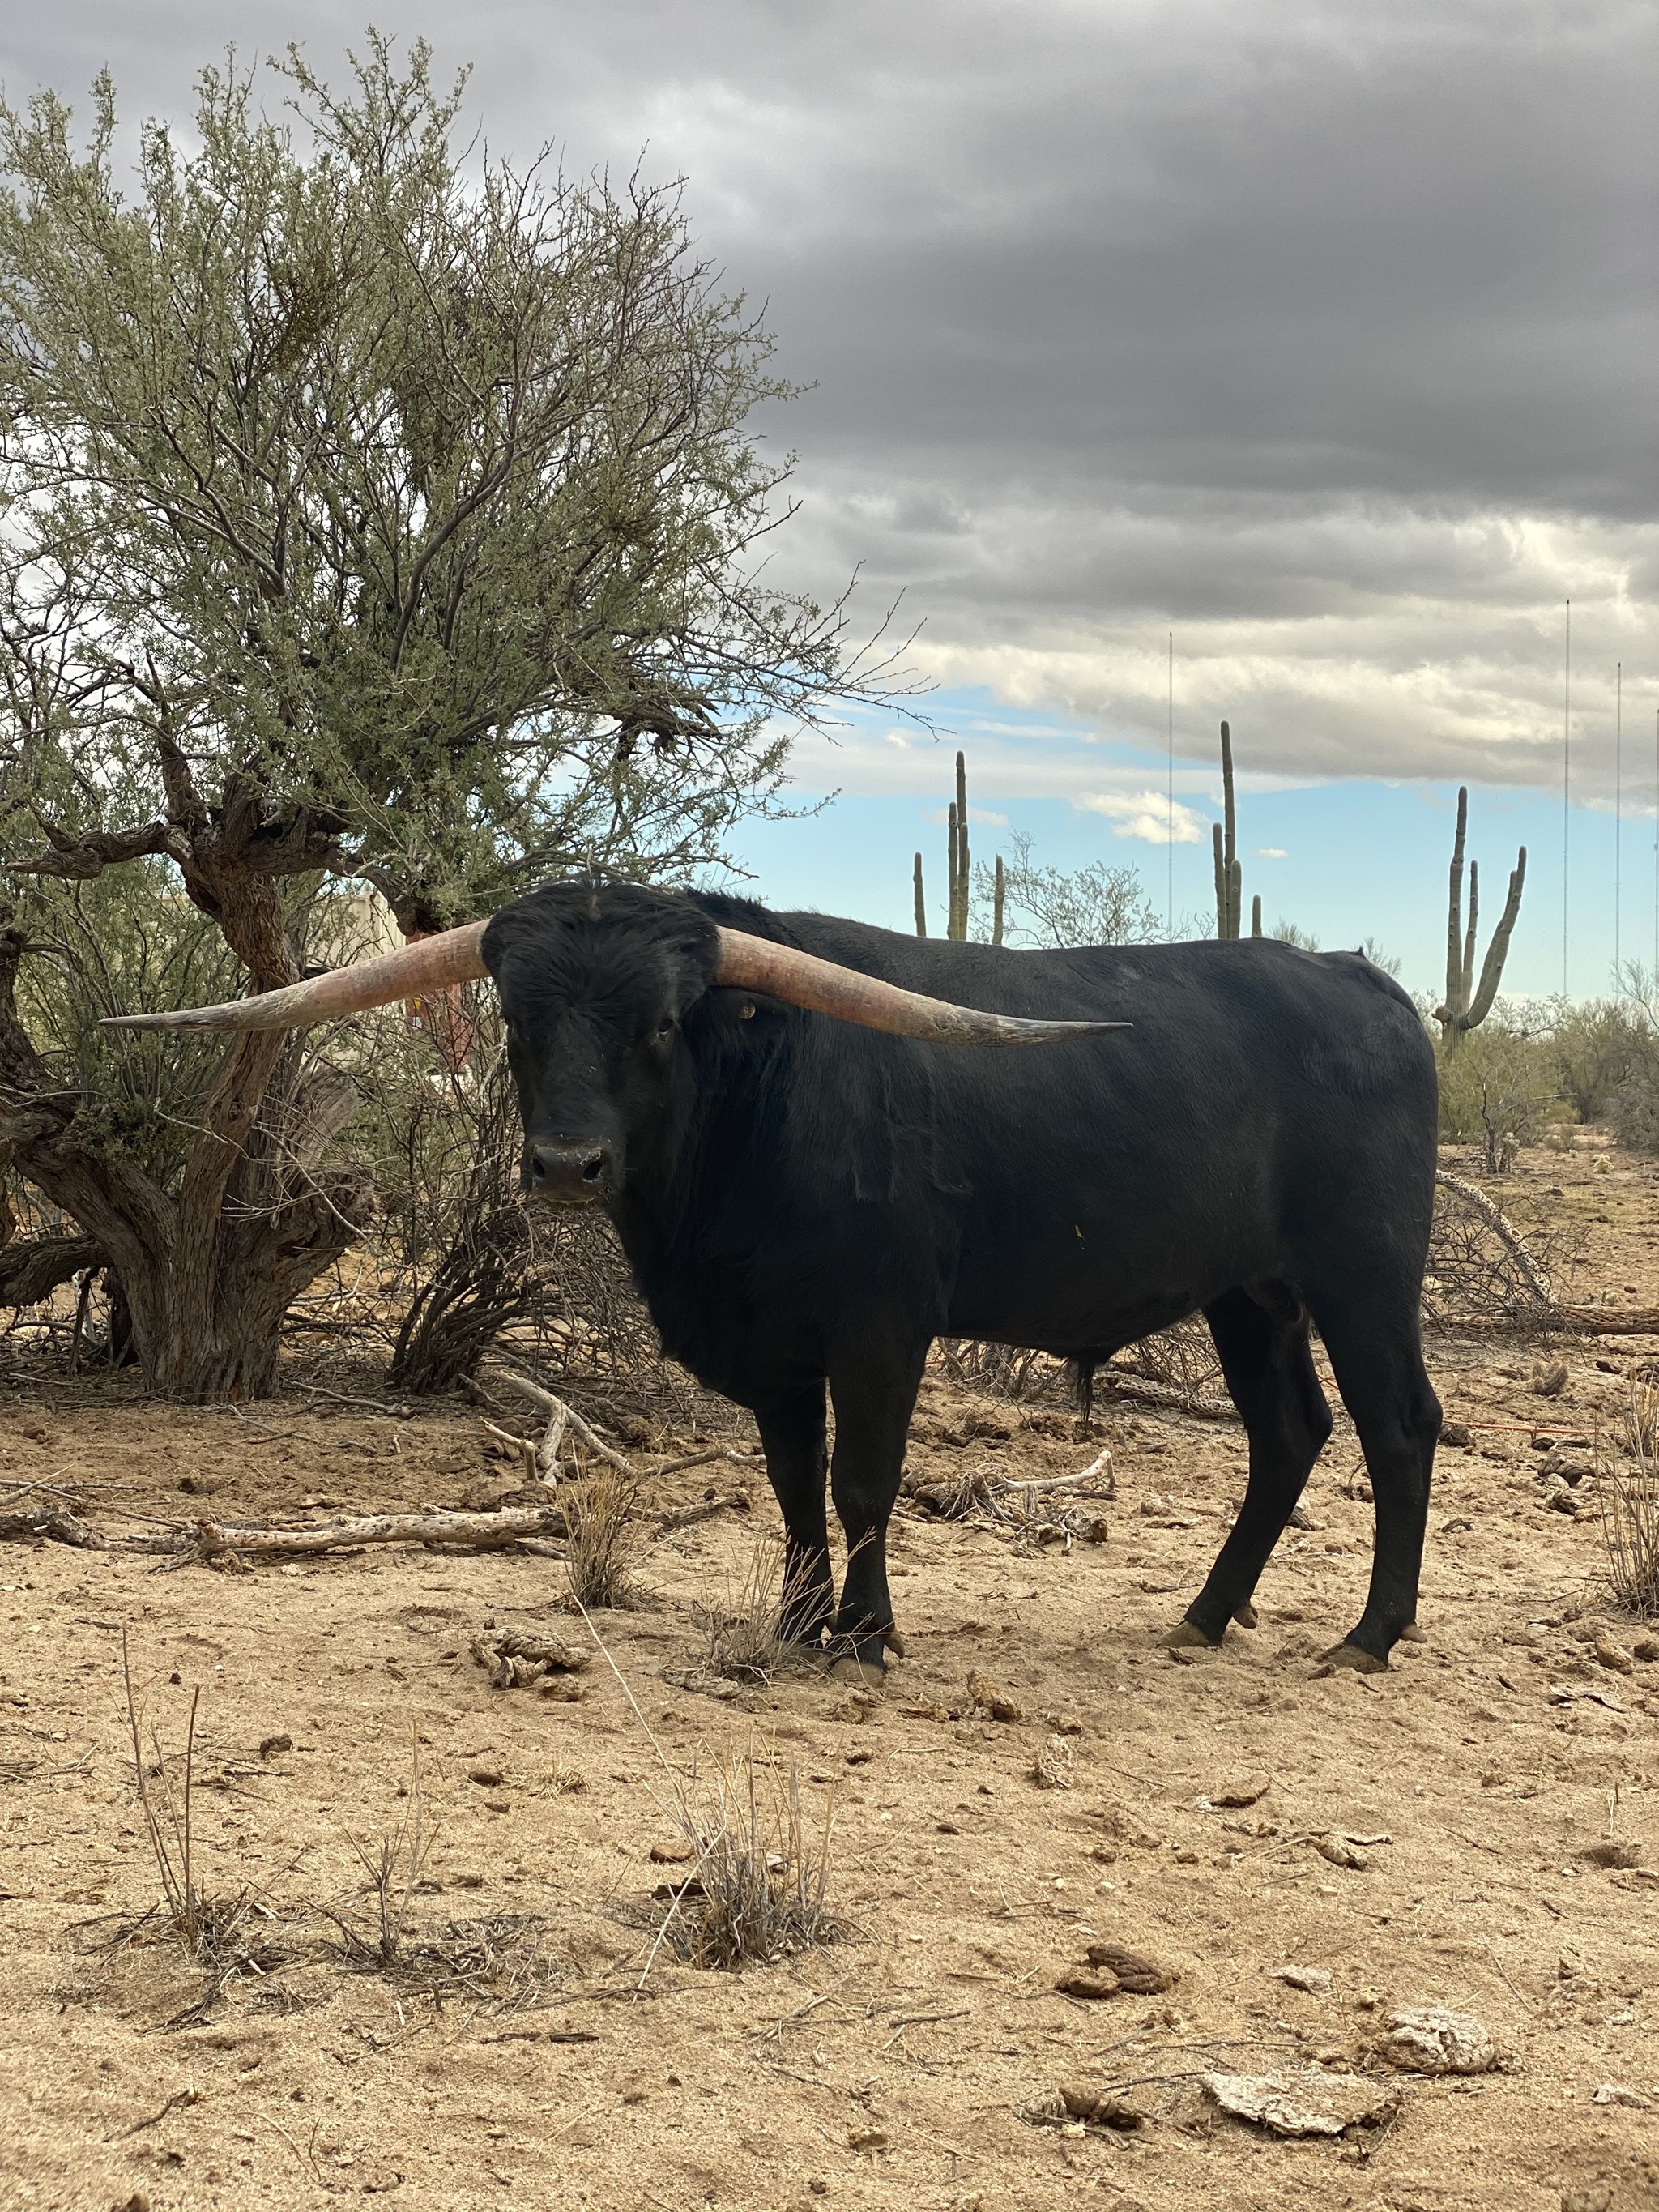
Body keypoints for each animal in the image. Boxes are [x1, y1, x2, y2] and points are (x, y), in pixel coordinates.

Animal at [112, 878, 1443, 1687]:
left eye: (660, 1022)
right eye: (519, 1020)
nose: (565, 1165)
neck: (759, 1097)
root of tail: (1361, 980)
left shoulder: (880, 1333)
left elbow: (861, 1484)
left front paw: (868, 1634)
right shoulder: (773, 1353)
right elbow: (795, 1488)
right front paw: (800, 1621)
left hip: (1363, 1271)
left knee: (1397, 1425)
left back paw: (1370, 1635)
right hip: (1249, 1292)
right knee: (1288, 1431)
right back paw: (1206, 1612)